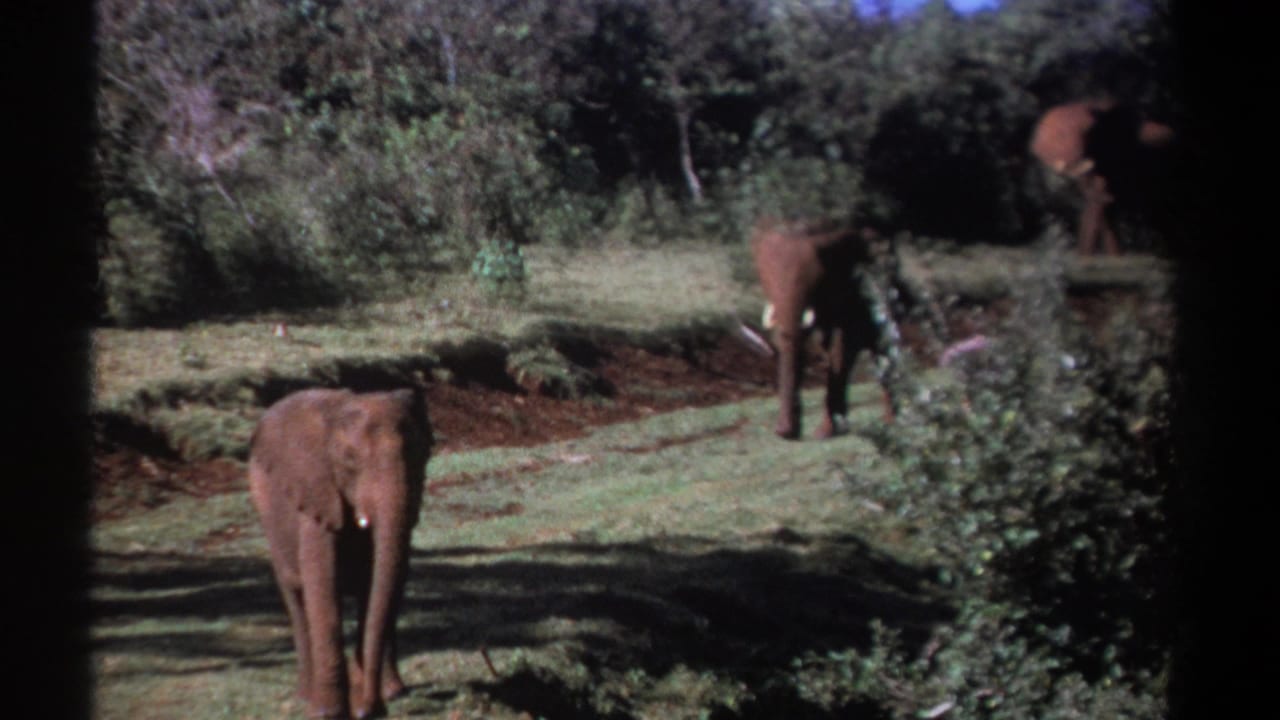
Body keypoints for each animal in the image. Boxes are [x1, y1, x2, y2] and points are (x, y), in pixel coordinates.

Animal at [249, 387, 432, 719]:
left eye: (420, 455)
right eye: (349, 461)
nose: (369, 711)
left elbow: (381, 587)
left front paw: (381, 699)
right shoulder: (317, 496)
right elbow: (323, 591)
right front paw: (328, 713)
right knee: (296, 599)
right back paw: (306, 697)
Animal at [750, 217, 889, 440]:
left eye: (819, 278)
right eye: (766, 275)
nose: (783, 432)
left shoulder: (856, 291)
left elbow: (841, 349)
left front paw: (824, 433)